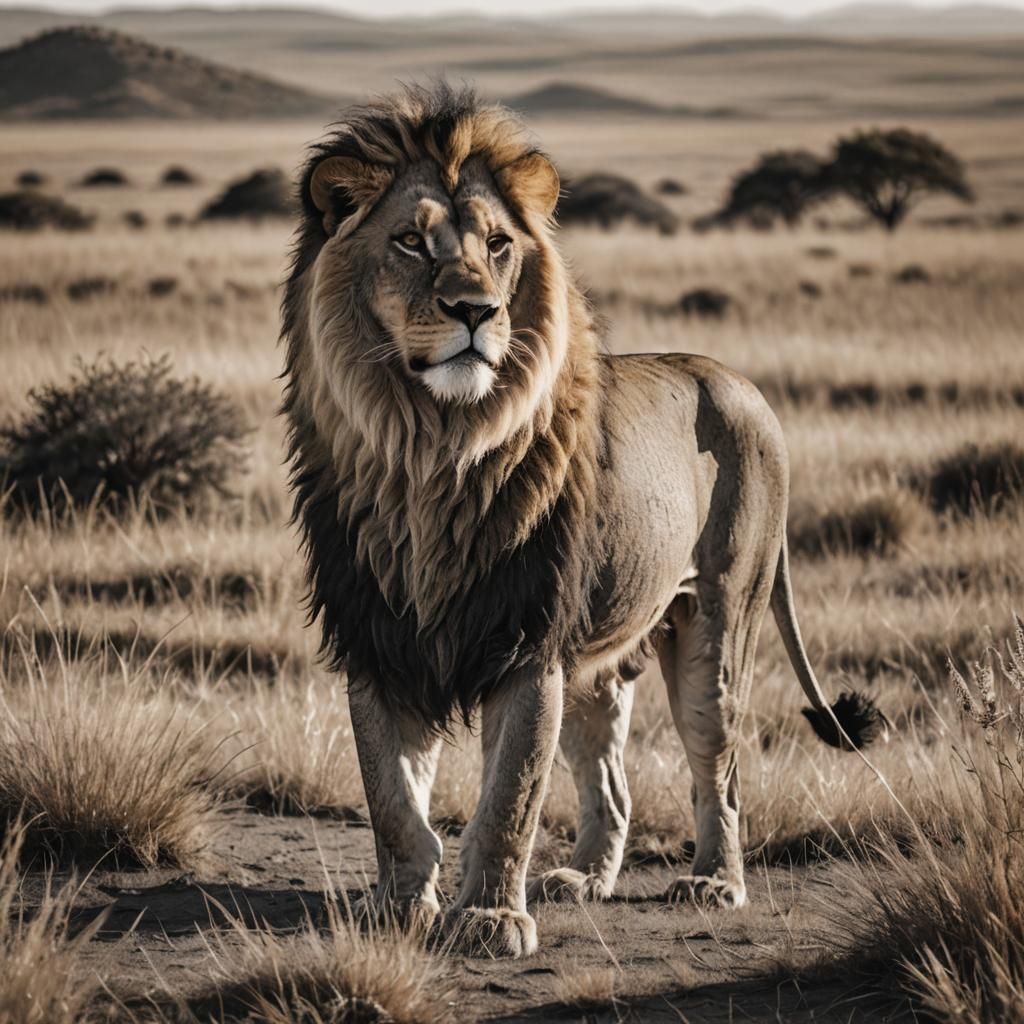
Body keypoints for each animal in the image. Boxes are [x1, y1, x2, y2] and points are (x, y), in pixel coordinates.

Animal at [281, 84, 885, 959]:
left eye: (498, 245)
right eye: (409, 242)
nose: (476, 310)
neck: (431, 450)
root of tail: (742, 383)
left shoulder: (527, 644)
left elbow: (510, 797)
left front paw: (489, 918)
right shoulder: (378, 637)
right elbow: (393, 801)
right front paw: (398, 909)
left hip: (717, 623)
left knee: (722, 768)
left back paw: (715, 883)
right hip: (595, 659)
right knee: (611, 781)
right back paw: (583, 880)